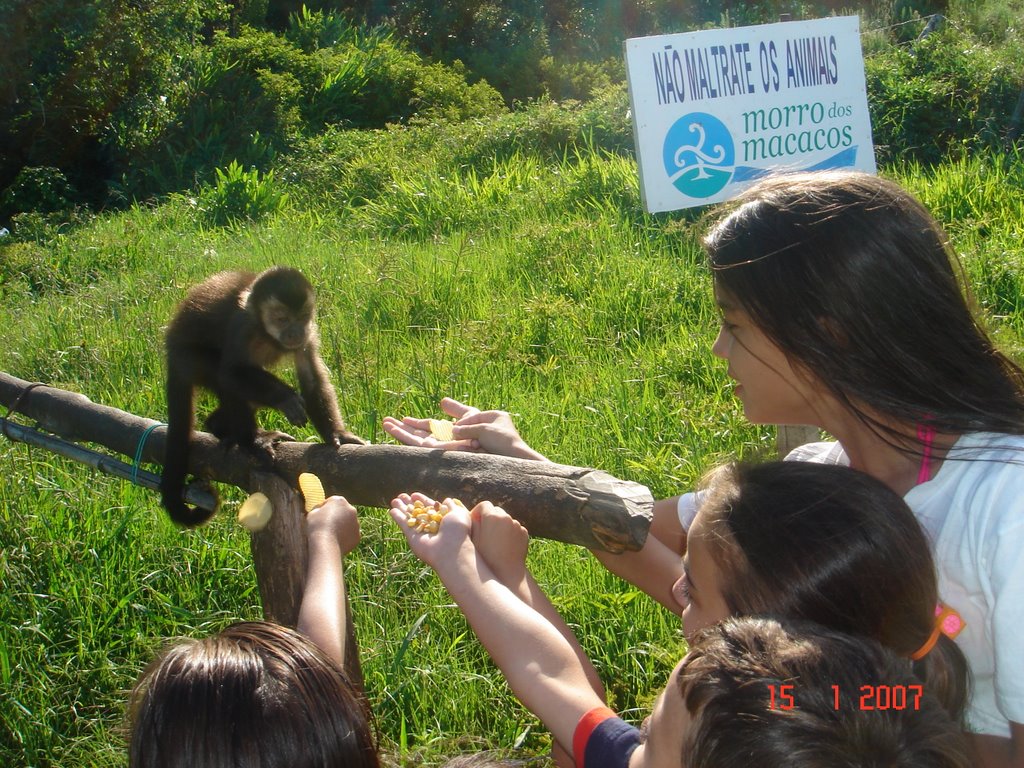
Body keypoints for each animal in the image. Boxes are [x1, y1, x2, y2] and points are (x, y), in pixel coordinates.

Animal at [159, 268, 364, 528]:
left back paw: (218, 426)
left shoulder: (309, 333)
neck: (268, 336)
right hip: (189, 357)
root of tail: (172, 350)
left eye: (302, 317)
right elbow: (232, 372)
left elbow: (312, 379)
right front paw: (286, 397)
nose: (295, 332)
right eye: (282, 319)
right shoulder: (242, 326)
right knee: (224, 376)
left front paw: (336, 433)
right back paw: (252, 439)